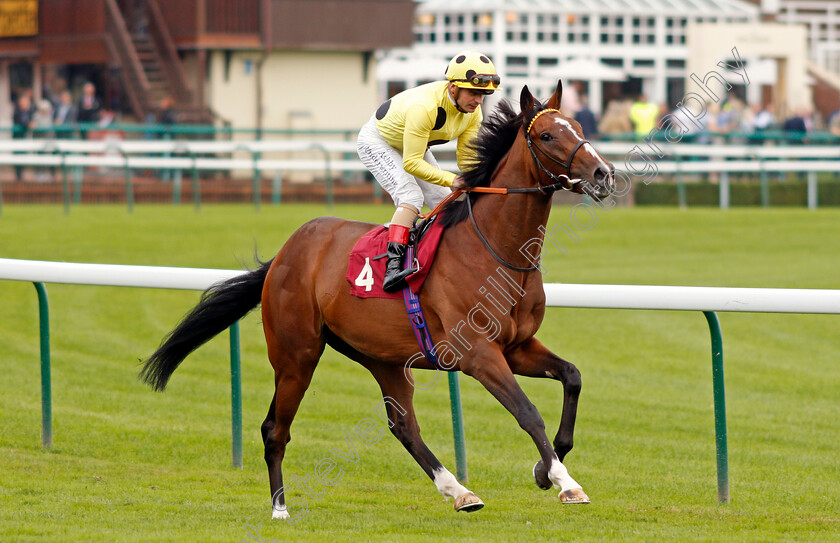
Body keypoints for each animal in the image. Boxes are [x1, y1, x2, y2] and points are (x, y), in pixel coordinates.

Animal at [143, 81, 616, 520]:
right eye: (547, 136)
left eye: (578, 128)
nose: (603, 173)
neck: (496, 249)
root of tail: (284, 254)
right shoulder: (478, 354)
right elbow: (528, 411)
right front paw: (564, 482)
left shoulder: (516, 347)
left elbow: (572, 377)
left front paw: (545, 468)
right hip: (296, 354)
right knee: (275, 428)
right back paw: (280, 508)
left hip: (383, 357)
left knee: (404, 425)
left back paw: (460, 491)